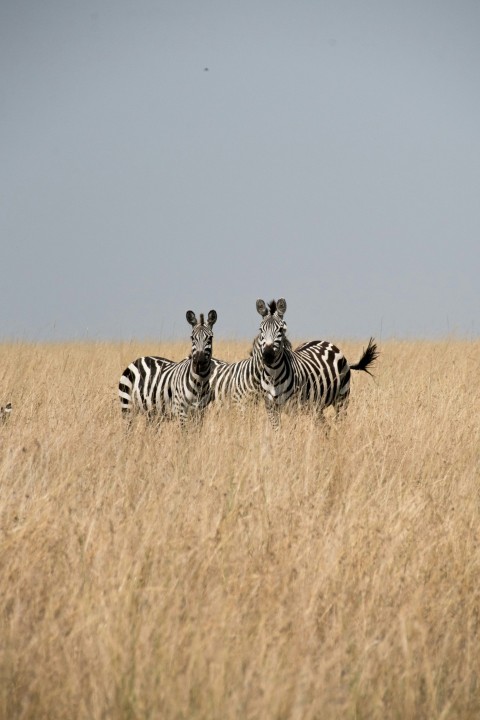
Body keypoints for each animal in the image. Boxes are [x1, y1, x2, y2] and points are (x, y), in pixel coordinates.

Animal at [255, 298, 378, 428]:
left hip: (342, 397)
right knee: (325, 426)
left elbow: (292, 430)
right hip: (317, 406)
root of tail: (325, 342)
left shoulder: (294, 406)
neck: (274, 375)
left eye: (281, 330)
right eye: (261, 330)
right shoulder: (270, 407)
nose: (268, 355)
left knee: (340, 421)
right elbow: (277, 430)